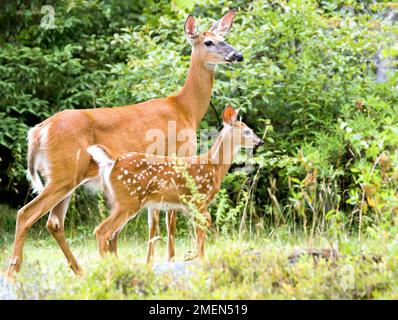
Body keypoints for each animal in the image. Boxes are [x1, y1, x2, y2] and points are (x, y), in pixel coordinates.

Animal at [7, 9, 243, 276]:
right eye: (209, 42)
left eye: (225, 38)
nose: (238, 55)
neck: (185, 108)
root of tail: (38, 131)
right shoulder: (179, 156)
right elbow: (168, 219)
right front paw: (169, 259)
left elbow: (153, 220)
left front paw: (150, 261)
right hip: (63, 174)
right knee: (26, 214)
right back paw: (14, 271)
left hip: (64, 177)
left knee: (54, 222)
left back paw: (79, 271)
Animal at [87, 106, 264, 258]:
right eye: (247, 131)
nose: (261, 141)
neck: (214, 166)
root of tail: (112, 162)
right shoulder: (199, 200)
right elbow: (202, 230)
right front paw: (196, 257)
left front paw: (192, 255)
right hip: (129, 200)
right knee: (102, 231)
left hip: (119, 201)